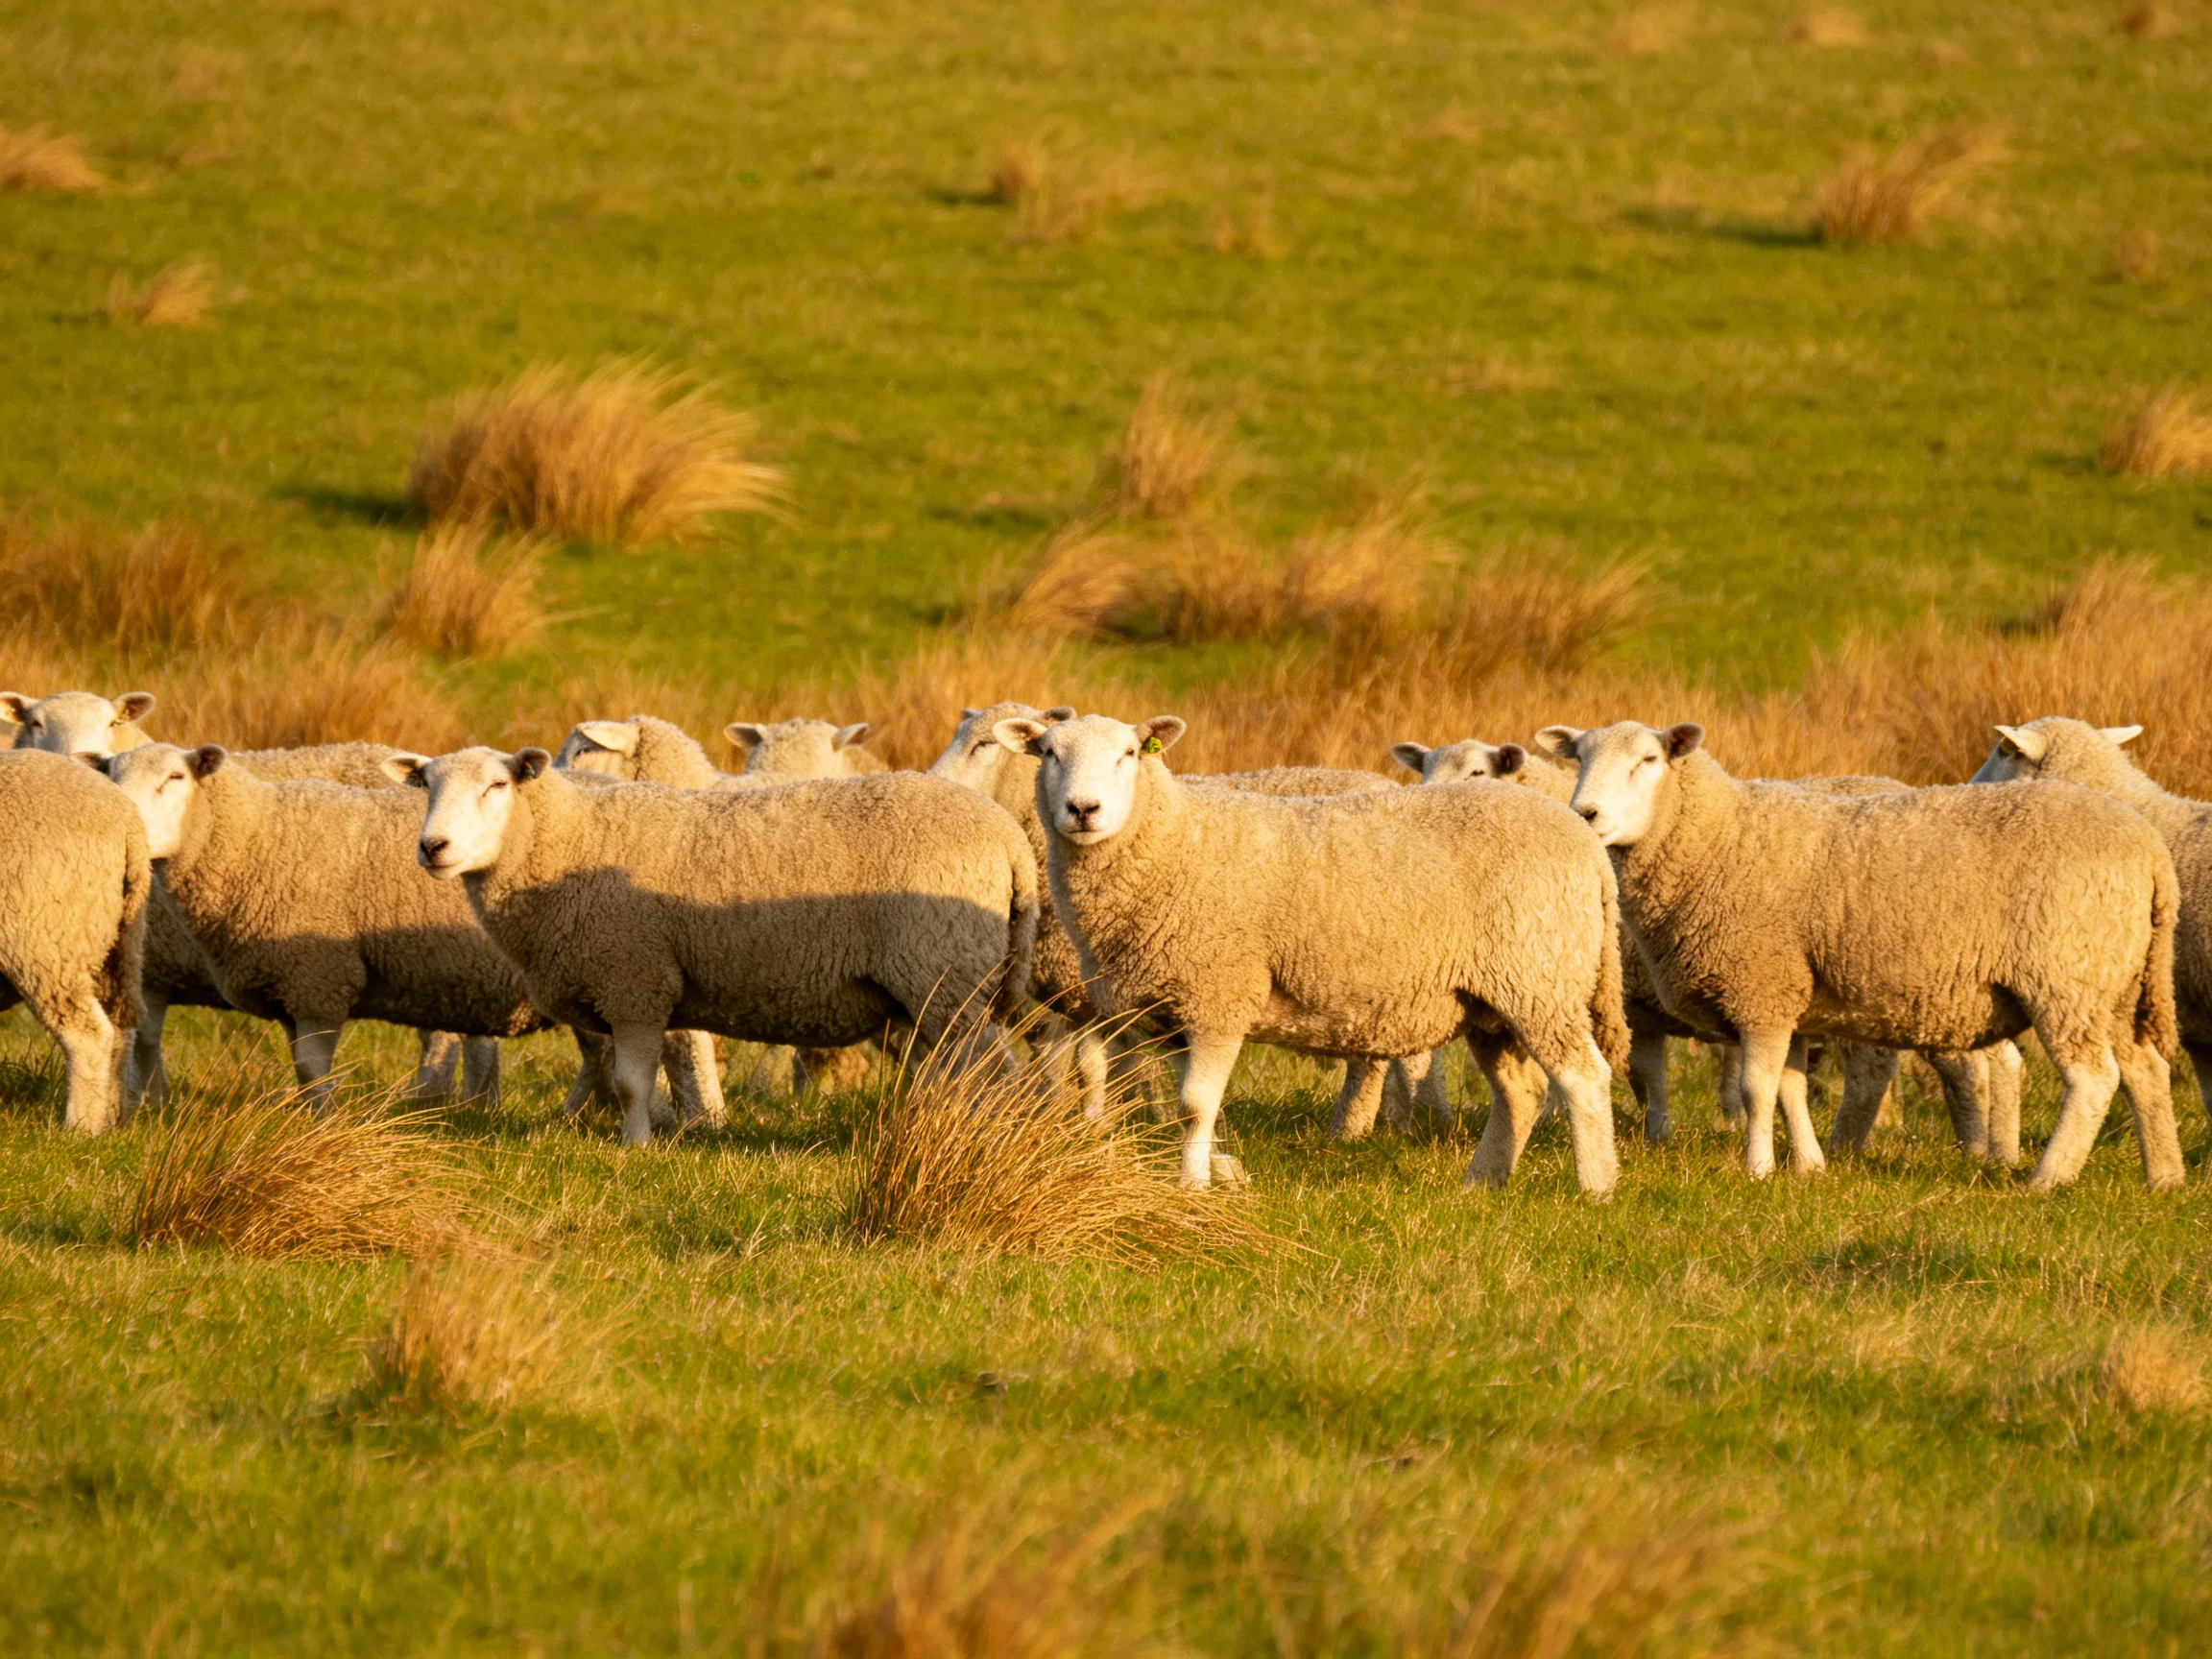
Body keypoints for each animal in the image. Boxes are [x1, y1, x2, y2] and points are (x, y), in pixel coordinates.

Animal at [0, 749, 150, 1132]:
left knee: (89, 1038)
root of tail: (126, 820)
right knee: (122, 1033)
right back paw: (112, 1124)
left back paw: (79, 1130)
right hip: (117, 944)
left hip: (45, 942)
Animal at [106, 743, 550, 1105]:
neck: (259, 836)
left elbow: (311, 1067)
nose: (124, 819)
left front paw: (322, 1121)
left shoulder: (318, 979)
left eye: (175, 777)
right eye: (111, 778)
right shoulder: (288, 990)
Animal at [384, 747, 1039, 1146]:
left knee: (997, 1075)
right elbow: (642, 1073)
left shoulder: (635, 981)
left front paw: (635, 1146)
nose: (432, 846)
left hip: (946, 969)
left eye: (497, 785)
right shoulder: (634, 988)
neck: (562, 842)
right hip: (941, 984)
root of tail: (1009, 839)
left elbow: (631, 1081)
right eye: (426, 786)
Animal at [992, 712, 1628, 1192]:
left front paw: (1192, 1186)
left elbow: (1195, 1103)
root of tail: (1584, 843)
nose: (1083, 810)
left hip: (1539, 975)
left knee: (1583, 1077)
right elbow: (1197, 1103)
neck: (1173, 842)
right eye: (1047, 752)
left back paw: (1596, 1187)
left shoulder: (1219, 993)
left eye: (1129, 753)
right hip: (1493, 998)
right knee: (1521, 1091)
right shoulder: (1174, 1008)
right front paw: (1225, 1169)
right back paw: (1483, 1183)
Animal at [1541, 720, 2185, 1190]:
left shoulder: (1761, 989)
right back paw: (2165, 1177)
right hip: (2112, 980)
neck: (1721, 838)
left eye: (1648, 760)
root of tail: (2150, 850)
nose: (1585, 814)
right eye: (1580, 757)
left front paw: (1757, 1170)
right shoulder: (1790, 998)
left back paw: (2049, 1179)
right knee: (2144, 1072)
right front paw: (1809, 1166)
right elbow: (1791, 1088)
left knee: (2093, 1079)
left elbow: (1756, 1090)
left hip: (2066, 975)